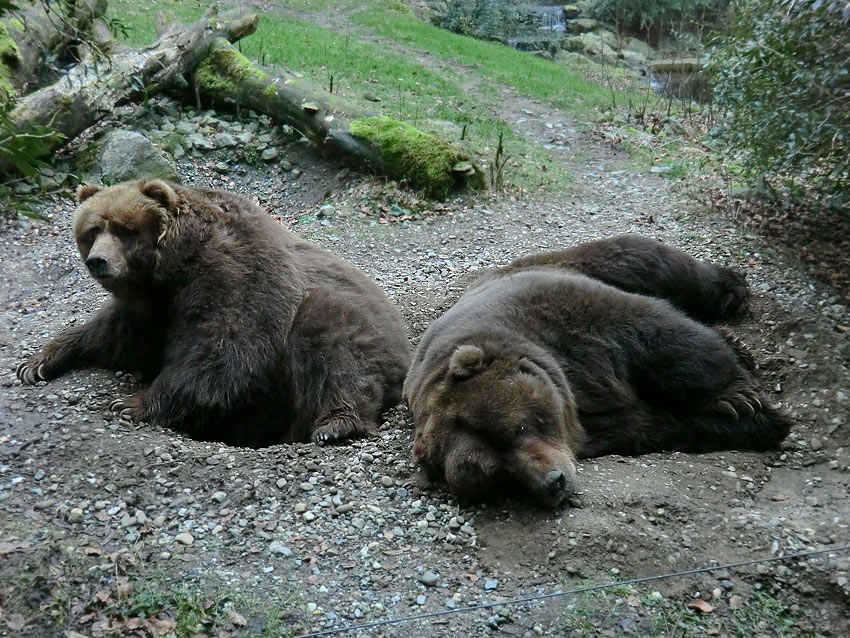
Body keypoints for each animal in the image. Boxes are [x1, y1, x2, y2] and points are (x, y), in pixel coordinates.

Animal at [15, 180, 408, 448]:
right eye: (92, 230)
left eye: (125, 230)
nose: (98, 261)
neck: (175, 269)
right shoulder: (151, 308)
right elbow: (111, 334)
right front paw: (37, 362)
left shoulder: (233, 273)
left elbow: (222, 351)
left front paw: (129, 403)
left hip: (338, 320)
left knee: (335, 352)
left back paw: (335, 424)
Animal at [404, 238, 788, 508]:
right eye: (496, 475)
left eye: (519, 428)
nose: (553, 481)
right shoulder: (598, 420)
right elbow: (659, 424)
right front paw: (752, 421)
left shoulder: (564, 316)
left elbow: (657, 332)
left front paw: (741, 399)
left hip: (583, 262)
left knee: (656, 263)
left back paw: (733, 293)